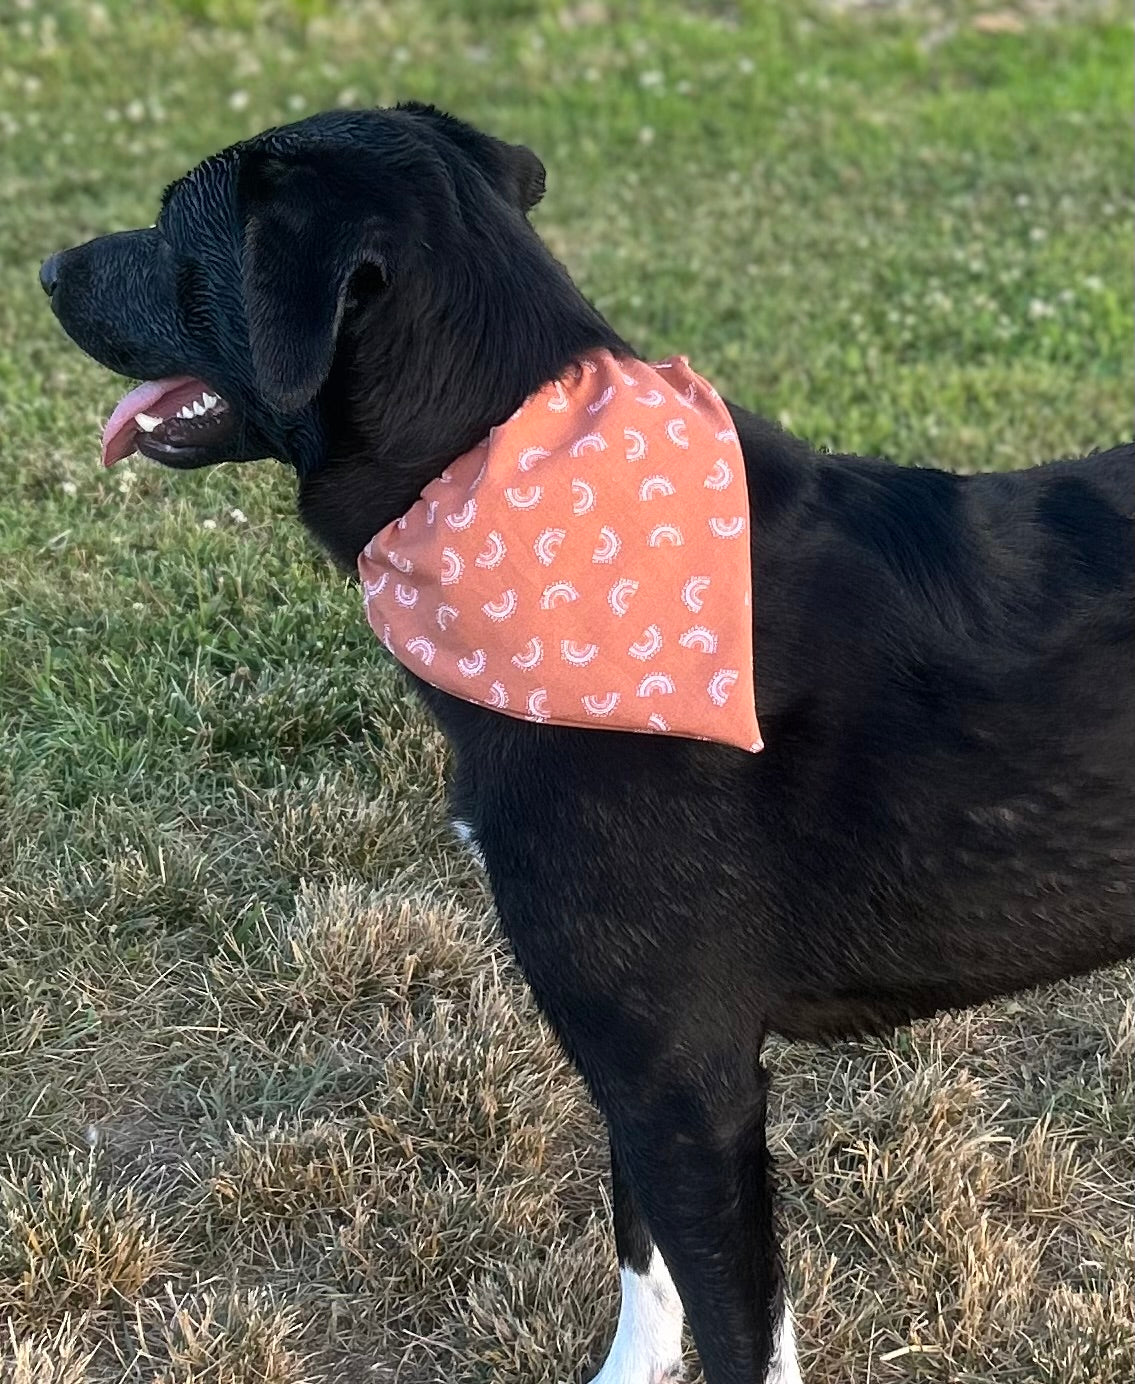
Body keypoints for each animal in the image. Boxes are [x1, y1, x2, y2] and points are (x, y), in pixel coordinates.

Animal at [39, 107, 1129, 1384]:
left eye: (174, 221)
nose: (45, 268)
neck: (506, 484)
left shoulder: (687, 1085)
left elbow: (733, 1327)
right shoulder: (637, 1073)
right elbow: (640, 1264)